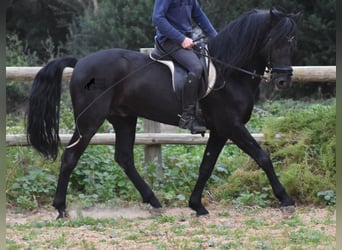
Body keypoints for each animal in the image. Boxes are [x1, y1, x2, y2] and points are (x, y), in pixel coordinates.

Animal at [27, 8, 302, 218]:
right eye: (275, 41)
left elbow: (206, 166)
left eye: (293, 42)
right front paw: (286, 200)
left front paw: (197, 205)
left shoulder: (220, 130)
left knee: (124, 158)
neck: (229, 71)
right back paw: (61, 208)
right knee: (70, 156)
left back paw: (154, 202)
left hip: (124, 118)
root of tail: (81, 63)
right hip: (89, 120)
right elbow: (262, 157)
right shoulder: (232, 126)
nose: (283, 81)